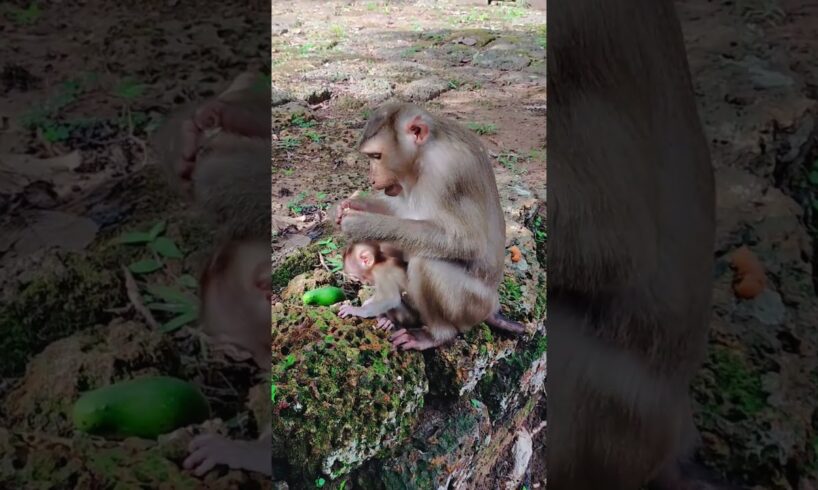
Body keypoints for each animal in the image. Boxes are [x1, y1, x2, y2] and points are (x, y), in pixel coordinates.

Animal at [336, 101, 524, 350]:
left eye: (376, 156)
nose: (371, 178)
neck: (424, 155)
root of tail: (492, 305)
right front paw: (351, 204)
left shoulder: (448, 171)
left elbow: (468, 242)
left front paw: (362, 224)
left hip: (472, 306)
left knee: (427, 263)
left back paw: (437, 335)